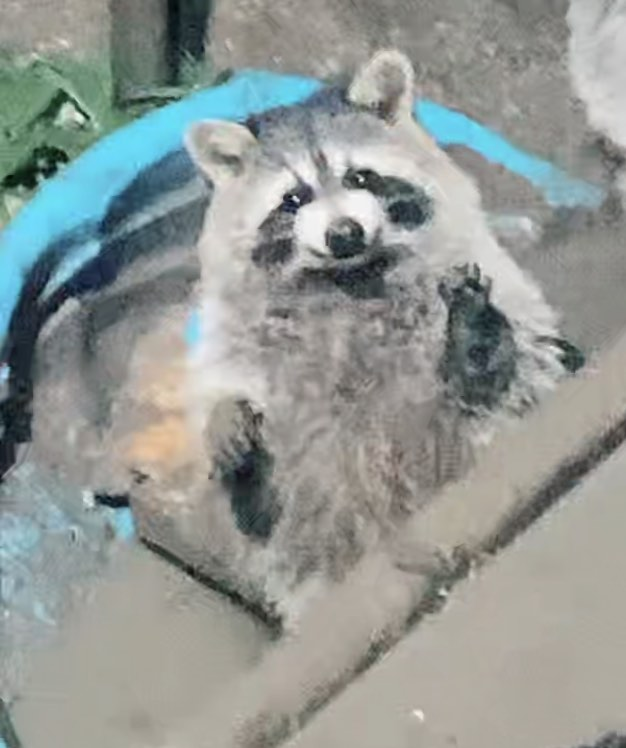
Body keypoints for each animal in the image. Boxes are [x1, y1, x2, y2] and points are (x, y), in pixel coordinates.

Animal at [120, 50, 581, 631]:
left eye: (361, 176)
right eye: (294, 198)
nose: (344, 234)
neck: (349, 278)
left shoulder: (492, 279)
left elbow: (520, 363)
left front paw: (476, 344)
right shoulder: (239, 346)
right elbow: (248, 487)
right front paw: (227, 425)